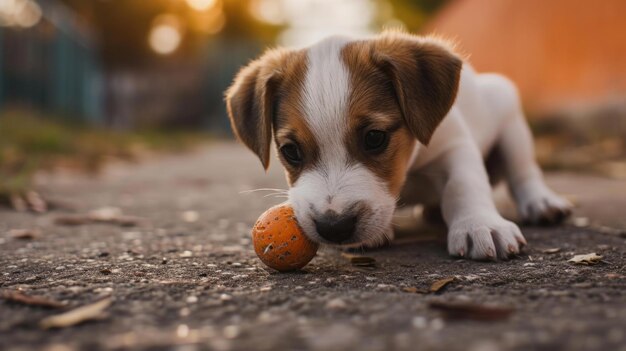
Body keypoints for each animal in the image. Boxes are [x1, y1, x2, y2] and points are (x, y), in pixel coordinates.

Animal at [224, 31, 572, 262]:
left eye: (374, 137)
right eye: (291, 151)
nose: (334, 228)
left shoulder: (454, 146)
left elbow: (464, 184)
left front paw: (480, 223)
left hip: (509, 113)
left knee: (524, 172)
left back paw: (541, 202)